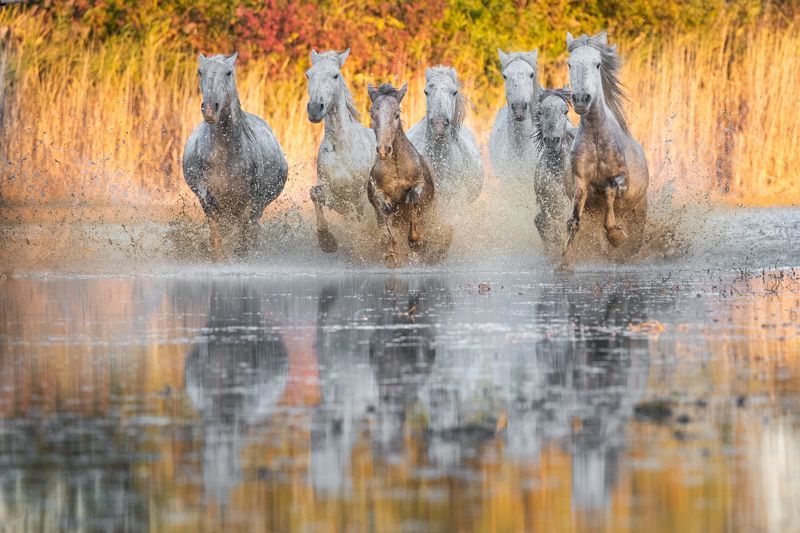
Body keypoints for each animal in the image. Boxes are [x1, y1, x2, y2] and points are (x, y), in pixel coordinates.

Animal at [182, 52, 288, 260]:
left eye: (228, 72)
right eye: (200, 71)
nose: (210, 109)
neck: (224, 157)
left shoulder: (250, 202)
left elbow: (243, 238)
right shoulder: (208, 199)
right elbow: (217, 238)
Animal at [306, 49, 375, 253]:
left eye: (335, 75)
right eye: (308, 75)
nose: (314, 109)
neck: (342, 149)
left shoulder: (361, 199)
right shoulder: (335, 195)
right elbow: (314, 194)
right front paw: (326, 241)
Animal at [366, 83, 435, 268]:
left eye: (397, 114)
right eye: (372, 114)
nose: (384, 150)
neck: (397, 165)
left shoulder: (418, 184)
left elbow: (412, 202)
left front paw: (414, 241)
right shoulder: (379, 193)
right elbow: (387, 221)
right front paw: (391, 256)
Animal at [563, 31, 649, 262]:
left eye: (597, 64)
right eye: (570, 64)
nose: (581, 99)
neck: (596, 138)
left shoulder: (622, 179)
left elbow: (610, 188)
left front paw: (616, 236)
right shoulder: (580, 183)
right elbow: (573, 220)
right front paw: (565, 259)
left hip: (638, 210)